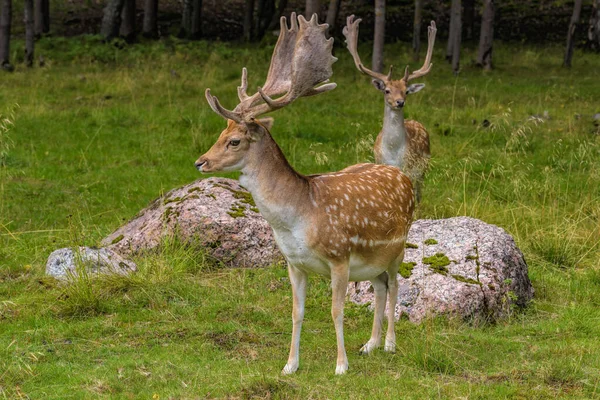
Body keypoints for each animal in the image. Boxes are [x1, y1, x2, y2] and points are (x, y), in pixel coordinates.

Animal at [195, 12, 414, 376]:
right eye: (220, 133)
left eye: (234, 141)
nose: (201, 161)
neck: (297, 218)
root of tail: (402, 175)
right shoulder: (293, 263)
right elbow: (297, 313)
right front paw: (289, 365)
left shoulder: (339, 257)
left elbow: (336, 311)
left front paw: (341, 366)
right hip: (373, 258)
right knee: (381, 287)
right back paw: (370, 344)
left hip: (399, 246)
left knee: (396, 285)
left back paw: (391, 344)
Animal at [342, 15, 436, 203]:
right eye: (387, 90)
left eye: (406, 91)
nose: (400, 102)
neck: (393, 151)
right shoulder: (380, 163)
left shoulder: (409, 168)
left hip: (423, 168)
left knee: (419, 194)